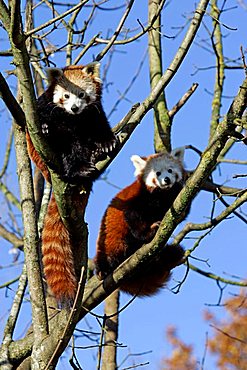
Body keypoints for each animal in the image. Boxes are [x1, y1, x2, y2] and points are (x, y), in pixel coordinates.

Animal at [26, 62, 117, 302]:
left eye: (82, 94)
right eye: (66, 95)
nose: (75, 108)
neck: (74, 118)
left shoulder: (93, 113)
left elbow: (100, 126)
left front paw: (106, 143)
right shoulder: (44, 108)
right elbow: (52, 125)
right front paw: (46, 127)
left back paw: (95, 153)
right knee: (68, 142)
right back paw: (79, 167)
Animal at [94, 147, 187, 294]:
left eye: (170, 170)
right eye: (157, 173)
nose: (166, 180)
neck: (161, 195)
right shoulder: (137, 200)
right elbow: (132, 217)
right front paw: (149, 232)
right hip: (111, 243)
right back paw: (102, 270)